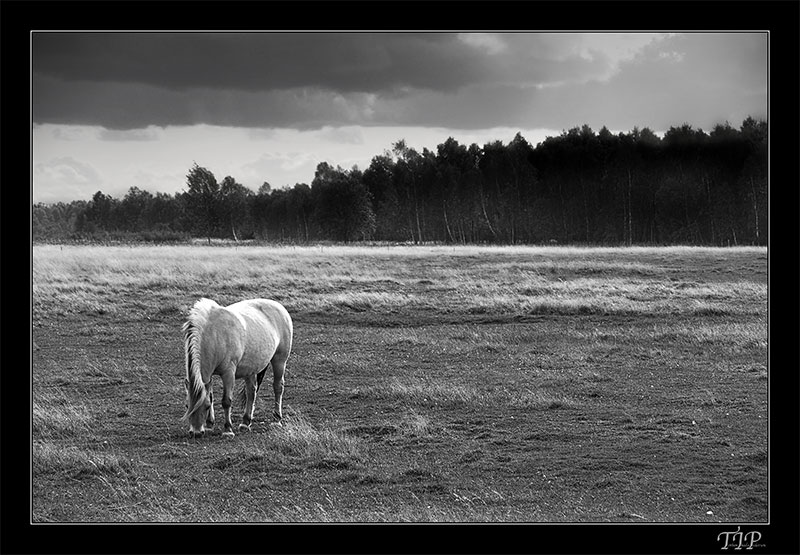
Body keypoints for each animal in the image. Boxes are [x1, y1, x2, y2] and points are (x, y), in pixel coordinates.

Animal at [182, 298, 294, 436]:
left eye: (206, 406)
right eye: (187, 406)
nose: (196, 432)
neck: (214, 335)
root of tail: (279, 307)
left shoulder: (228, 373)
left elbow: (226, 401)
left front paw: (228, 430)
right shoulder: (209, 376)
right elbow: (211, 396)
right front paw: (209, 425)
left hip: (279, 361)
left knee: (278, 387)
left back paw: (277, 419)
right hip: (251, 369)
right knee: (251, 392)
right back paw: (245, 422)